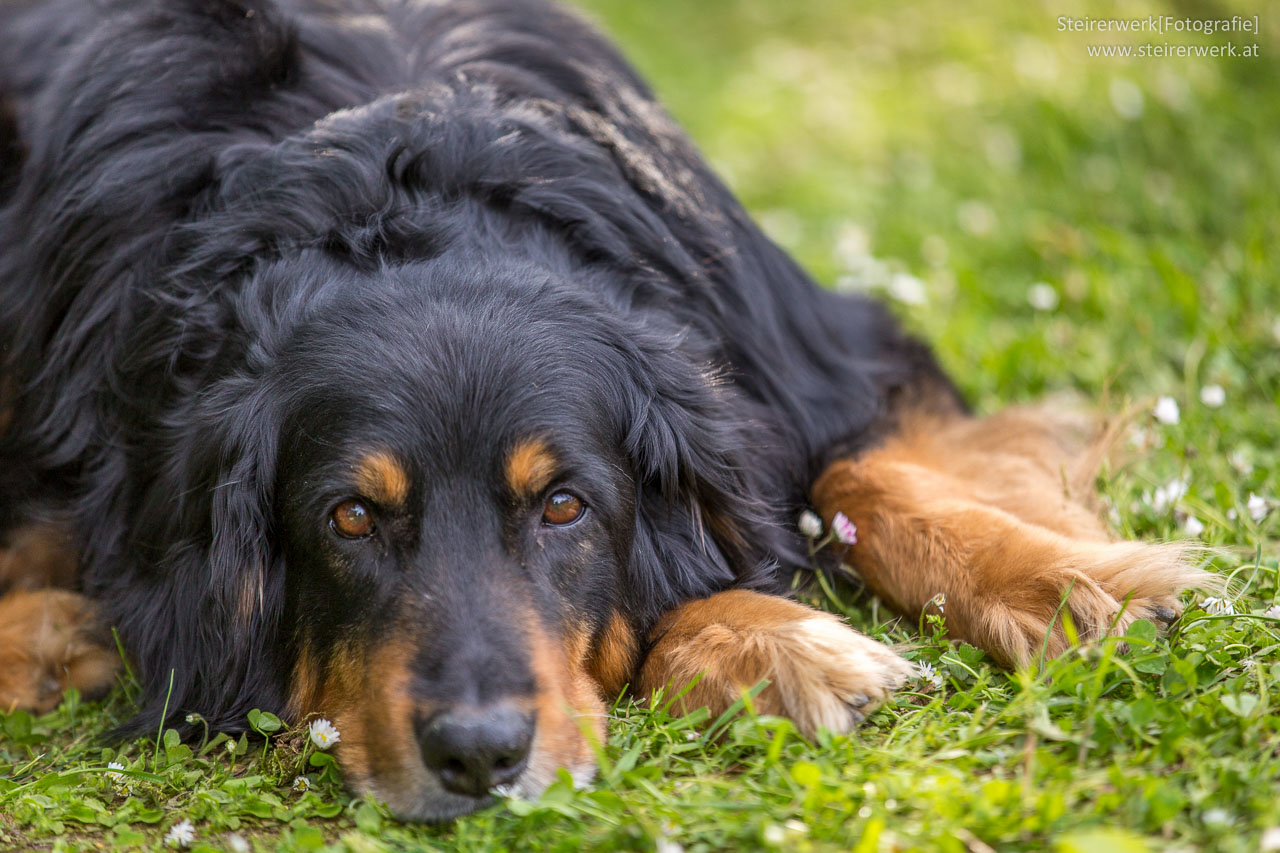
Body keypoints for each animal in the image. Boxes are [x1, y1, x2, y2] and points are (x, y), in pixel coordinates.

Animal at [0, 1, 1203, 824]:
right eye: (349, 518)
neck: (406, 194)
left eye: (566, 505)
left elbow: (856, 474)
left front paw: (1067, 582)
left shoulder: (816, 350)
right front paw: (772, 642)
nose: (476, 753)